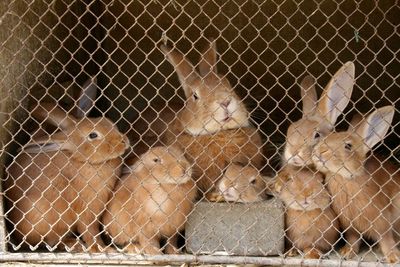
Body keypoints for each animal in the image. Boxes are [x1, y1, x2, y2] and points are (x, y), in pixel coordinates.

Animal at [4, 101, 130, 253]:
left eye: (108, 122)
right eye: (93, 135)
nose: (123, 141)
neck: (85, 161)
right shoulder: (87, 208)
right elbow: (90, 231)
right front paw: (103, 249)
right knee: (51, 241)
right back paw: (74, 244)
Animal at [312, 105, 400, 264]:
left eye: (348, 146)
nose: (319, 151)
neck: (345, 178)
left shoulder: (382, 222)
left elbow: (386, 239)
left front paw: (393, 258)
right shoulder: (350, 225)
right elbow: (353, 239)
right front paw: (346, 253)